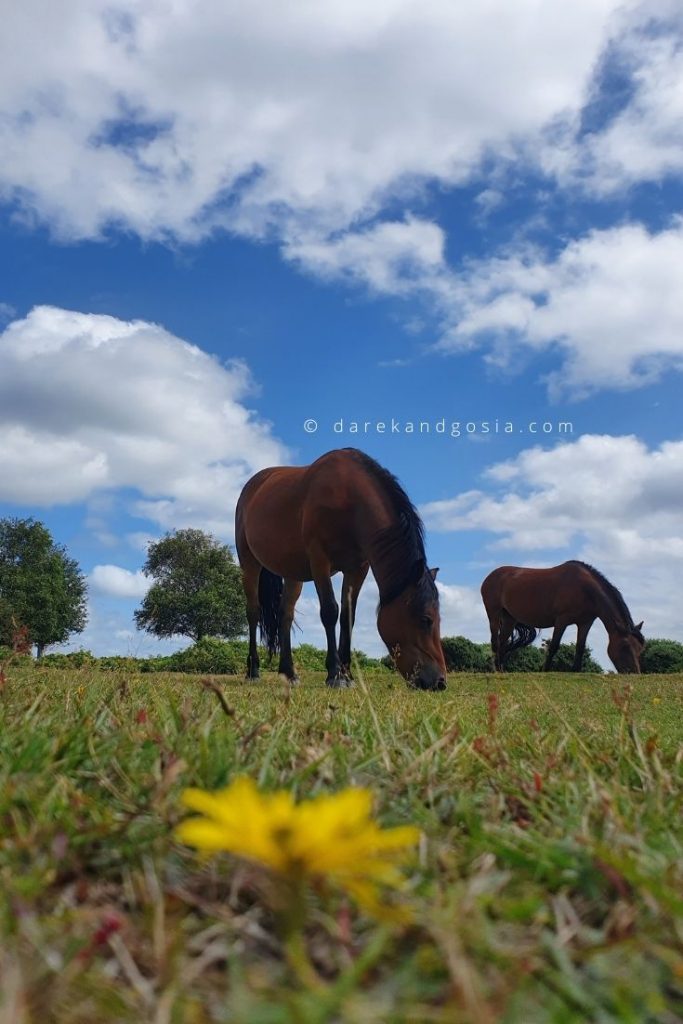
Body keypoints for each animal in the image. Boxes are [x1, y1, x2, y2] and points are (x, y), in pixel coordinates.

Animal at [235, 446, 448, 688]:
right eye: (426, 620)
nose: (440, 682)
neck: (349, 501)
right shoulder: (320, 561)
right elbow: (330, 611)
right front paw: (335, 675)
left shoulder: (358, 569)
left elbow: (348, 616)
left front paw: (347, 674)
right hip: (249, 563)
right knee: (253, 612)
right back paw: (253, 671)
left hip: (292, 573)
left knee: (285, 616)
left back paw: (289, 673)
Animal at [481, 561, 647, 671]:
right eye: (625, 646)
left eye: (639, 648)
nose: (634, 673)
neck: (585, 589)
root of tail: (490, 577)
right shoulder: (562, 620)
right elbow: (554, 646)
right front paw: (545, 671)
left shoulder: (585, 623)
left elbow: (580, 648)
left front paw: (576, 671)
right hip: (493, 614)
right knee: (495, 642)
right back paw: (495, 671)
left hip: (509, 619)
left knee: (502, 643)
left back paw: (501, 670)